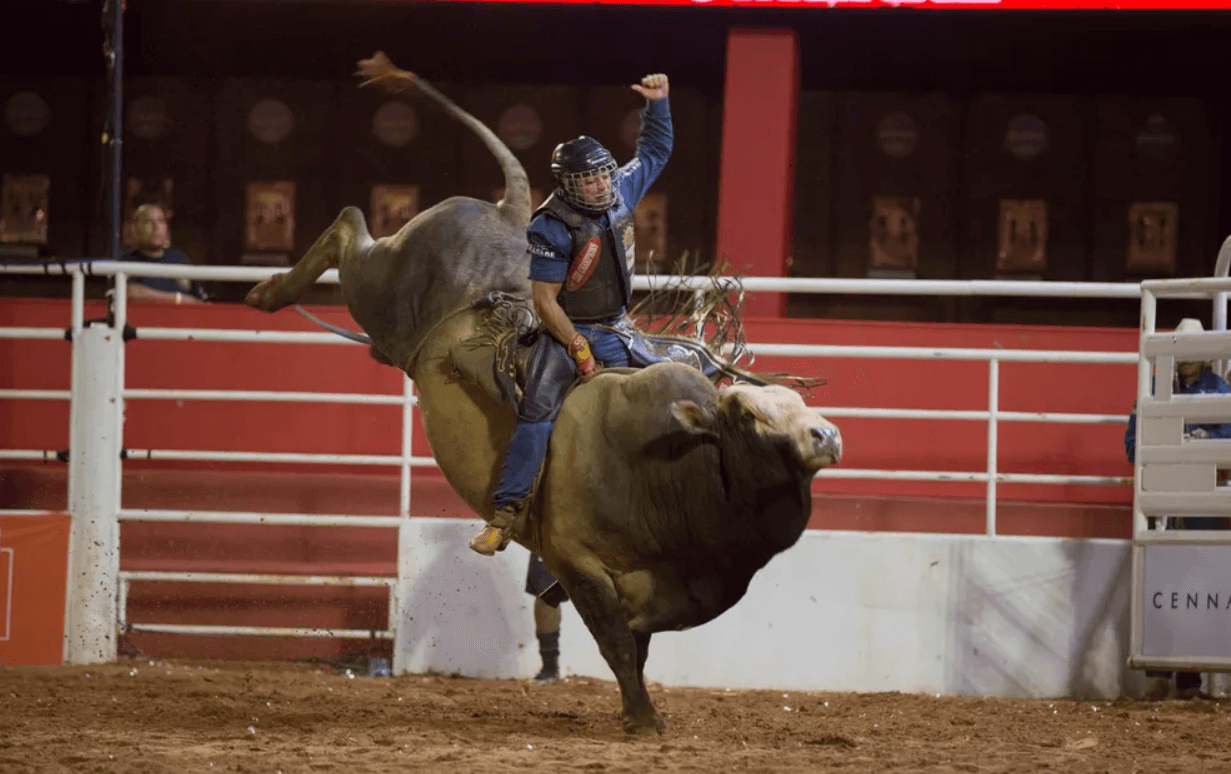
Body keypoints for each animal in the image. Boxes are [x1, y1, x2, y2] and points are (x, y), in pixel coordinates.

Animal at [244, 52, 842, 728]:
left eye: (797, 405)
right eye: (746, 414)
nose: (826, 435)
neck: (672, 465)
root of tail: (508, 212)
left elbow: (635, 645)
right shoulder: (578, 564)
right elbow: (616, 645)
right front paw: (644, 720)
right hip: (385, 290)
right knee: (350, 226)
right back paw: (269, 291)